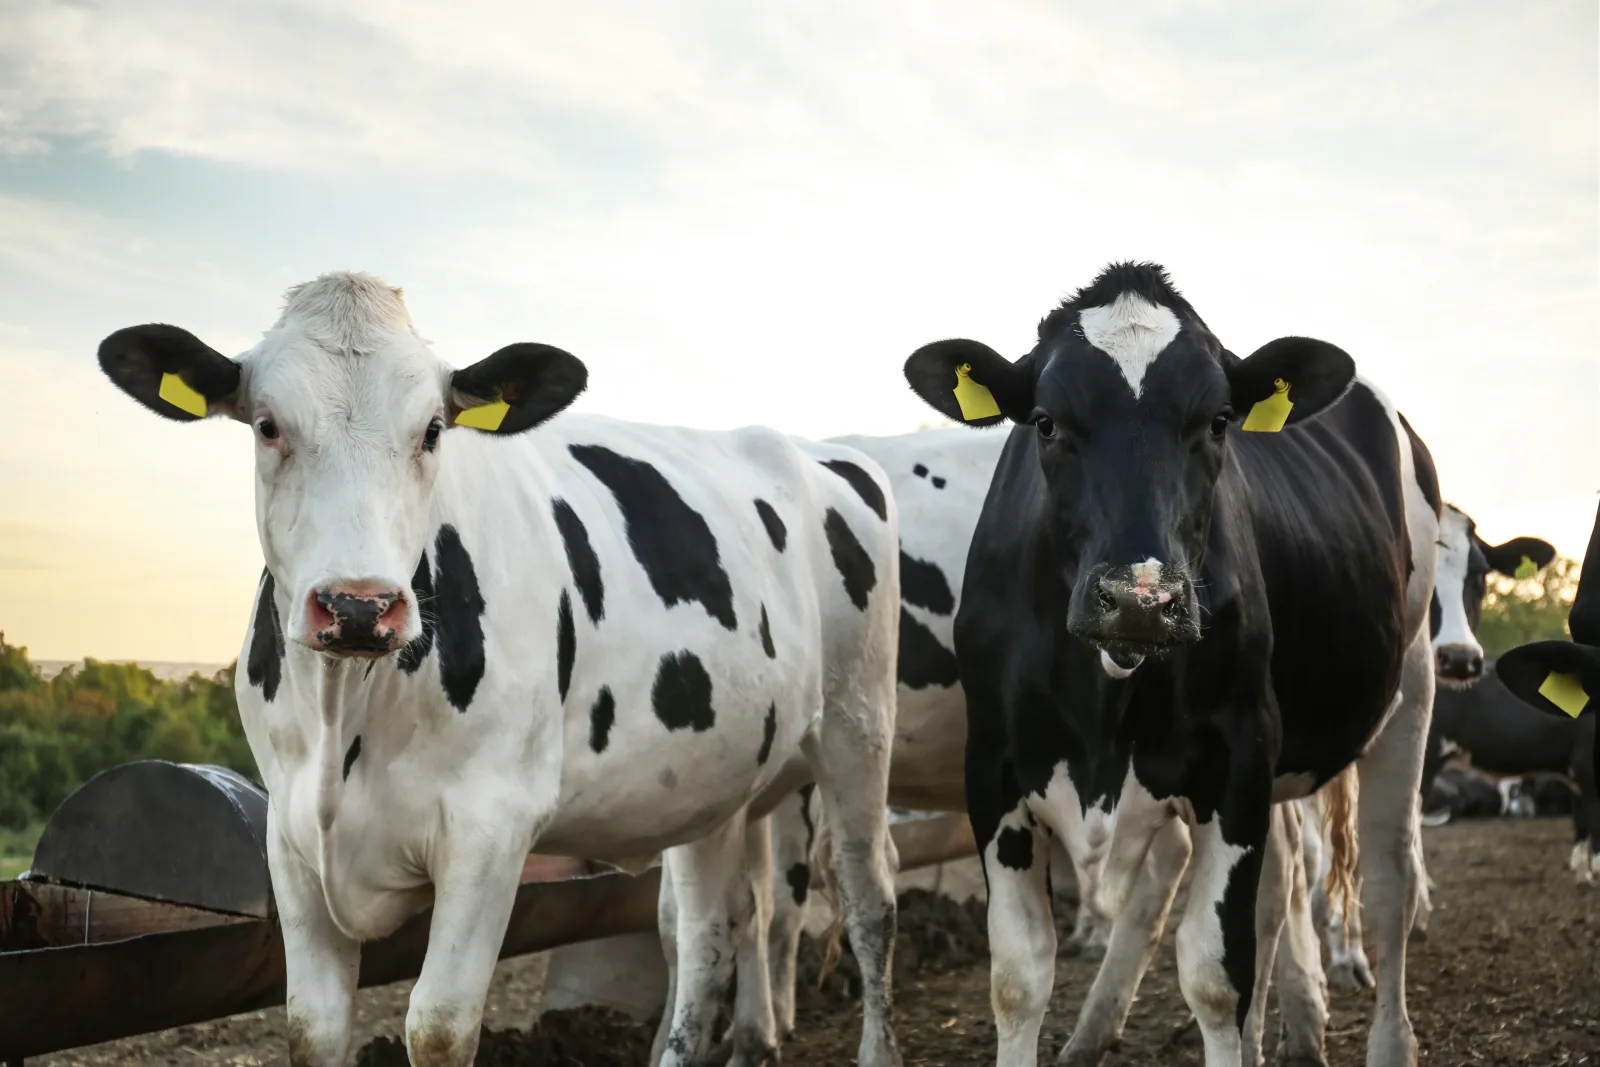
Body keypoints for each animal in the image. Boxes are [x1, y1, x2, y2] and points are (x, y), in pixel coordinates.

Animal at [95, 272, 905, 1067]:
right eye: (267, 425)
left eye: (432, 429)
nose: (358, 607)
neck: (342, 715)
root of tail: (816, 450)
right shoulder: (290, 838)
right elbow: (312, 1027)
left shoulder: (492, 823)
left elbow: (439, 1025)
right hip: (713, 776)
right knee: (709, 932)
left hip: (859, 725)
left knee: (870, 893)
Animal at [900, 262, 1439, 1067]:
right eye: (1046, 422)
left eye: (1218, 420)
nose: (1139, 598)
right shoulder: (992, 769)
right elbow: (1018, 978)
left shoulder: (1238, 757)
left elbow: (1216, 976)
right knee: (1284, 880)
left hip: (1409, 685)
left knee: (1388, 880)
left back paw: (1388, 1040)